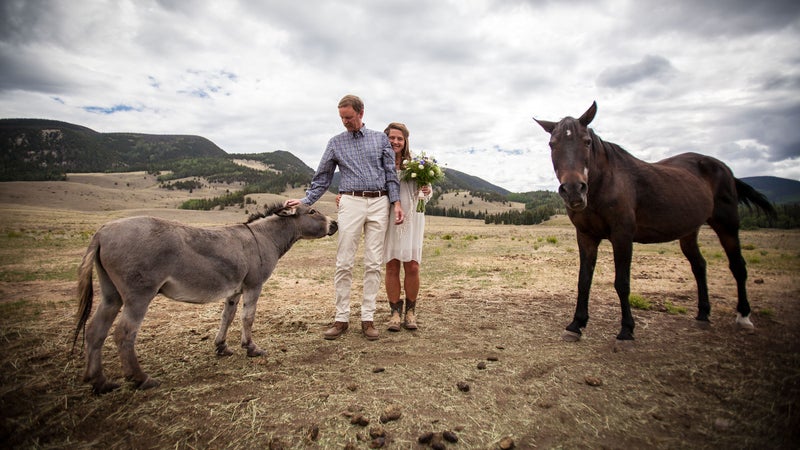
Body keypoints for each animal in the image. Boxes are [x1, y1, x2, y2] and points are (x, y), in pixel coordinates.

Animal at [536, 101, 776, 342]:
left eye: (586, 141)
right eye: (552, 144)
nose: (574, 190)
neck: (606, 183)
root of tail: (725, 169)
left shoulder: (622, 235)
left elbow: (622, 282)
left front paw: (627, 329)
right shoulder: (586, 236)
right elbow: (584, 280)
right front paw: (576, 324)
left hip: (727, 225)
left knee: (738, 266)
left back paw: (743, 317)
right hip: (689, 232)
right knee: (699, 265)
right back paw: (703, 314)